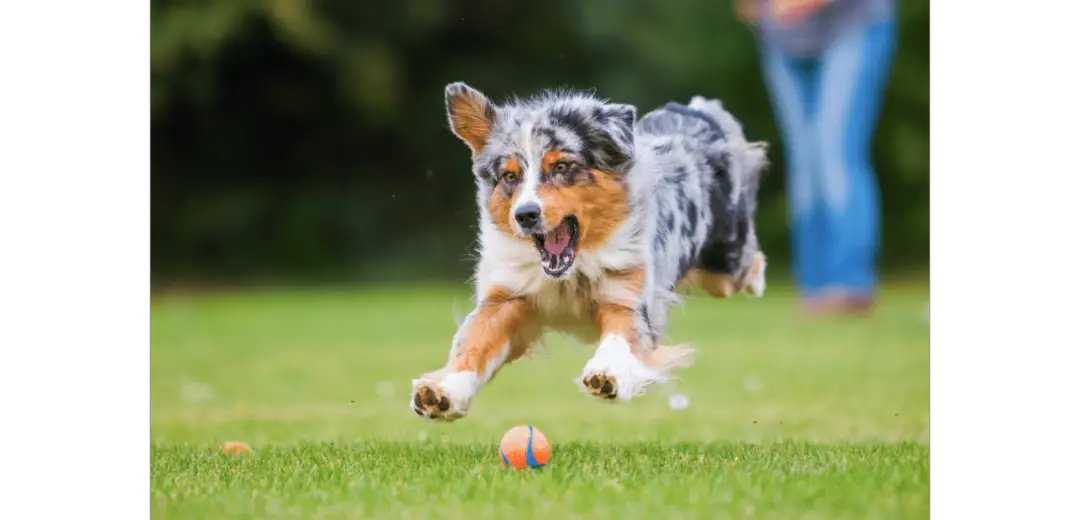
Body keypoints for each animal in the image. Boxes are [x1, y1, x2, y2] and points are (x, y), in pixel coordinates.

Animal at [410, 82, 768, 421]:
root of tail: (698, 111)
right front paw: (443, 391)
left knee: (751, 262)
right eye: (509, 175)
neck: (570, 274)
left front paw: (607, 374)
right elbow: (474, 342)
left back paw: (758, 282)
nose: (525, 215)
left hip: (726, 264)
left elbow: (620, 337)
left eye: (561, 166)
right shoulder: (506, 297)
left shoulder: (626, 295)